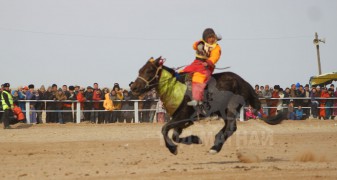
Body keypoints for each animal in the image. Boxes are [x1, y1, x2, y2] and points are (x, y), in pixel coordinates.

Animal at [130, 56, 282, 155]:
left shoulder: (182, 116)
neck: (175, 89)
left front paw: (173, 149)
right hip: (222, 111)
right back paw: (216, 140)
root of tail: (243, 82)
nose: (134, 87)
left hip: (231, 108)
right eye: (140, 70)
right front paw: (195, 139)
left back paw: (215, 147)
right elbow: (175, 136)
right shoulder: (182, 120)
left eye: (149, 70)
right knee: (228, 127)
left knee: (231, 127)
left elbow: (164, 129)